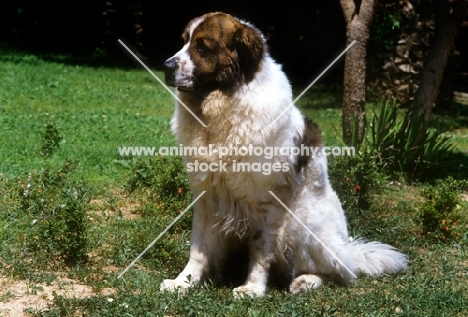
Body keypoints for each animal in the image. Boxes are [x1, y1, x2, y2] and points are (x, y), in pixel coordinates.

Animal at [159, 11, 408, 296]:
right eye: (184, 41)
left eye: (202, 47)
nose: (165, 66)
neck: (223, 105)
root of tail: (348, 249)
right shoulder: (207, 195)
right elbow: (198, 248)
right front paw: (184, 282)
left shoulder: (267, 201)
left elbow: (260, 249)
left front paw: (252, 288)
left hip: (302, 223)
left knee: (340, 273)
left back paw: (306, 281)